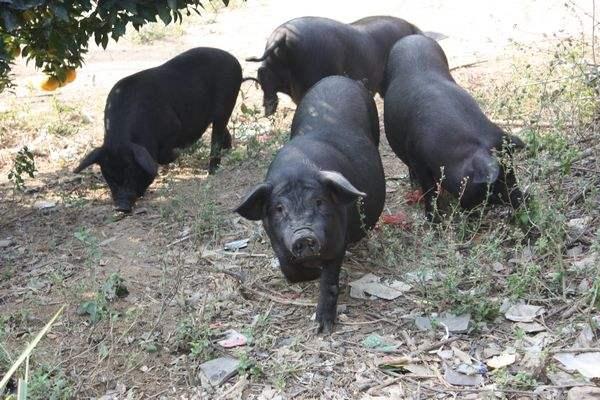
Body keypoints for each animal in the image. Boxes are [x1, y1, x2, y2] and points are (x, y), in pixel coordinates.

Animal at [74, 47, 241, 212]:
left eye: (131, 170)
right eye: (109, 176)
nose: (122, 207)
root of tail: (233, 59)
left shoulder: (174, 126)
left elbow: (161, 156)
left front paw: (177, 153)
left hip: (226, 103)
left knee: (217, 135)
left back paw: (212, 171)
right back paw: (228, 150)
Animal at [234, 76, 384, 332]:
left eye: (319, 201)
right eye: (279, 208)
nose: (304, 235)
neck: (298, 167)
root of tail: (340, 78)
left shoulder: (337, 238)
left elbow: (329, 280)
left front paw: (323, 328)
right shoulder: (277, 241)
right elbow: (290, 271)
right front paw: (311, 272)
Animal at [384, 36, 524, 219]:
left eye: (512, 173)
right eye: (499, 180)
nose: (525, 198)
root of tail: (411, 37)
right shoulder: (416, 157)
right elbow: (429, 190)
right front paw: (434, 220)